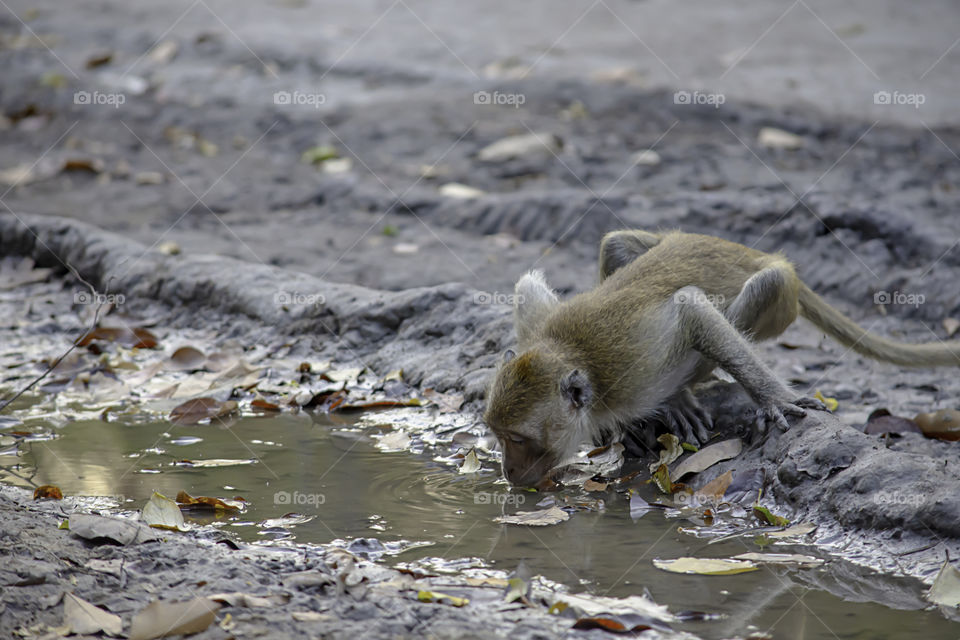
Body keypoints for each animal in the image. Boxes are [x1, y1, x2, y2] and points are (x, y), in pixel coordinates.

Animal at [484, 229, 960, 487]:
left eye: (518, 440)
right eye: (498, 435)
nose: (507, 470)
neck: (573, 357)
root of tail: (749, 250)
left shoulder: (632, 369)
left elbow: (691, 308)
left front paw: (772, 398)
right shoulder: (537, 329)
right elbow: (526, 285)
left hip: (780, 296)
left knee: (763, 287)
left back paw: (682, 393)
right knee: (616, 244)